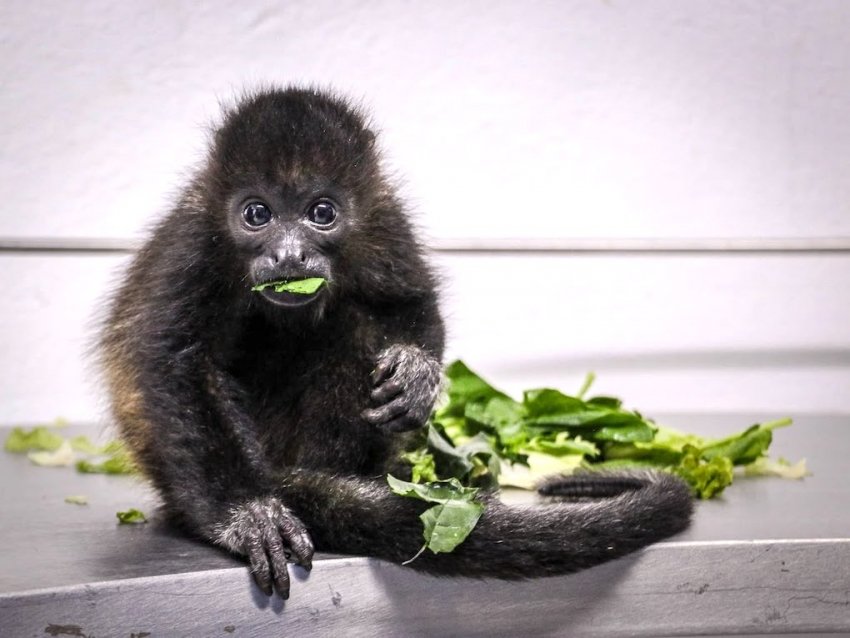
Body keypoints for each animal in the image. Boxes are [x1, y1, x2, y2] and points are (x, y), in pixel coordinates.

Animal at [99, 86, 692, 599]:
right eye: (256, 214)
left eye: (321, 212)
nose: (289, 255)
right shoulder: (191, 244)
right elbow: (175, 364)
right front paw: (248, 513)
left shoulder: (386, 221)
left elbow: (408, 304)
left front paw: (416, 373)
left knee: (354, 324)